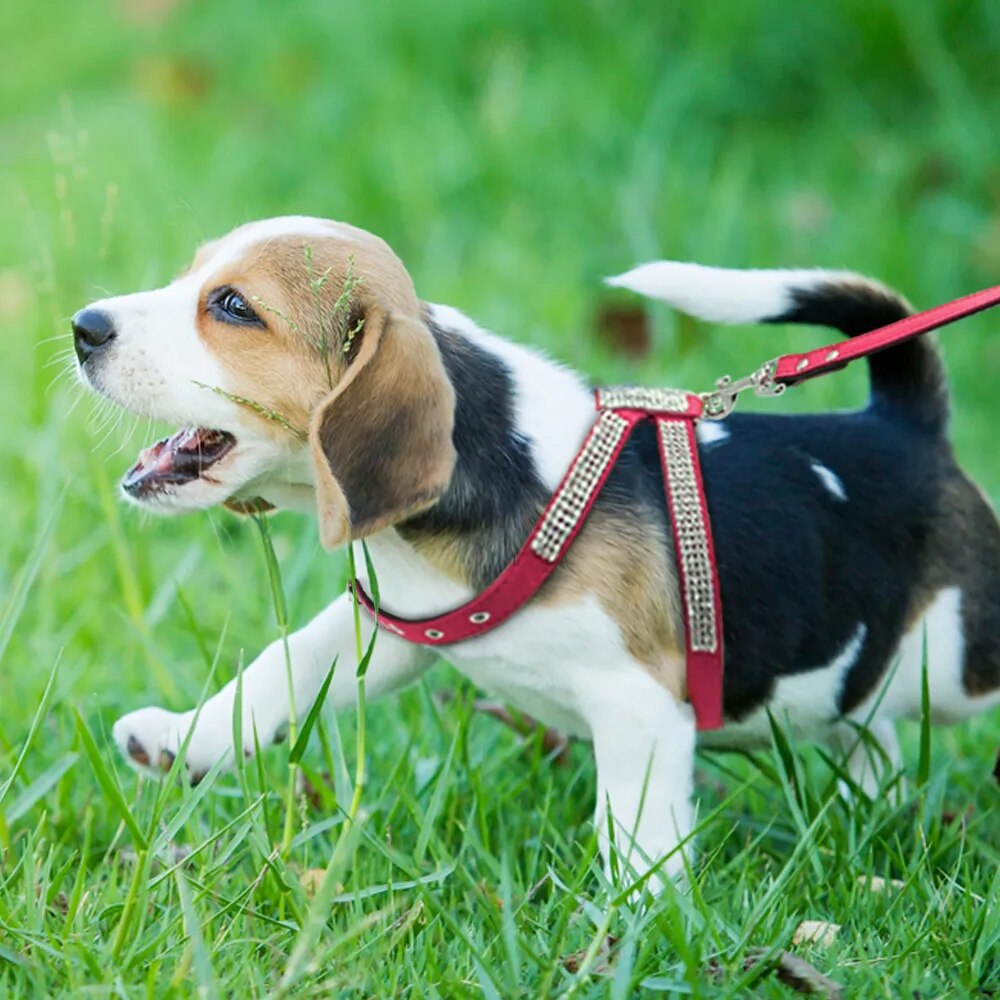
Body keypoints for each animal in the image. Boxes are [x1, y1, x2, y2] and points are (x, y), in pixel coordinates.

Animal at [72, 217, 1000, 884]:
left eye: (232, 307)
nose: (84, 326)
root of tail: (905, 423)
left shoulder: (640, 707)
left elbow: (633, 839)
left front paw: (628, 932)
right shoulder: (392, 628)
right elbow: (281, 670)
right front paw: (184, 741)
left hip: (958, 661)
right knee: (868, 729)